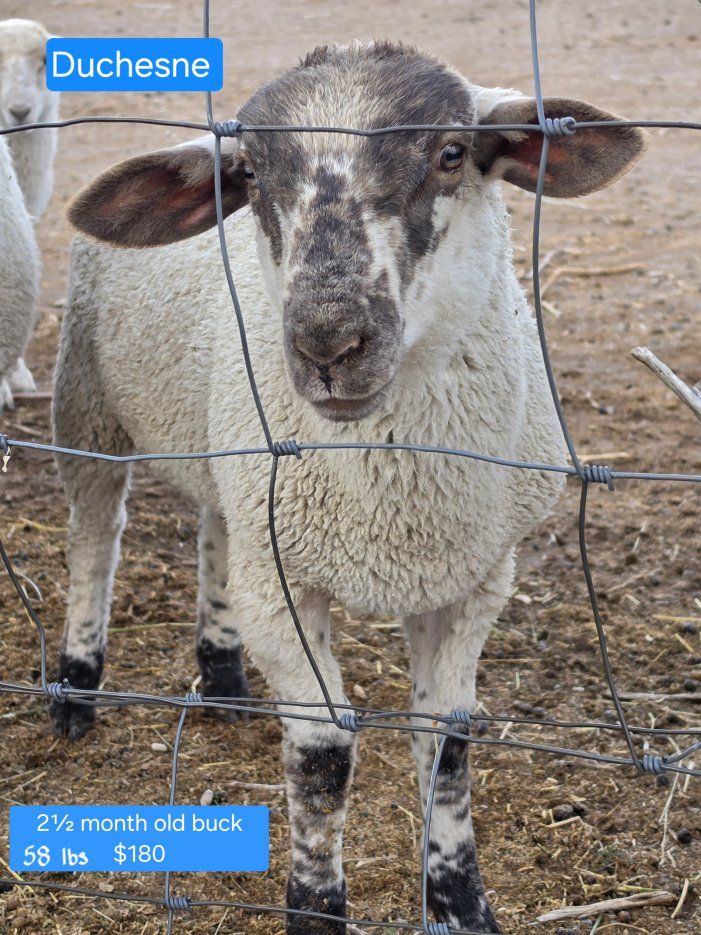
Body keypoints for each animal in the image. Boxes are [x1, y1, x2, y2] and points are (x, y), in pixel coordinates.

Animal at [53, 42, 645, 934]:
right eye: (249, 175)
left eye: (451, 154)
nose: (328, 341)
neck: (394, 495)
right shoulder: (282, 590)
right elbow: (323, 756)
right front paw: (316, 906)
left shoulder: (475, 580)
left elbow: (447, 743)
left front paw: (460, 901)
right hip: (88, 407)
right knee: (96, 537)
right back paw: (75, 687)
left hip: (234, 457)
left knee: (215, 529)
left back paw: (223, 681)